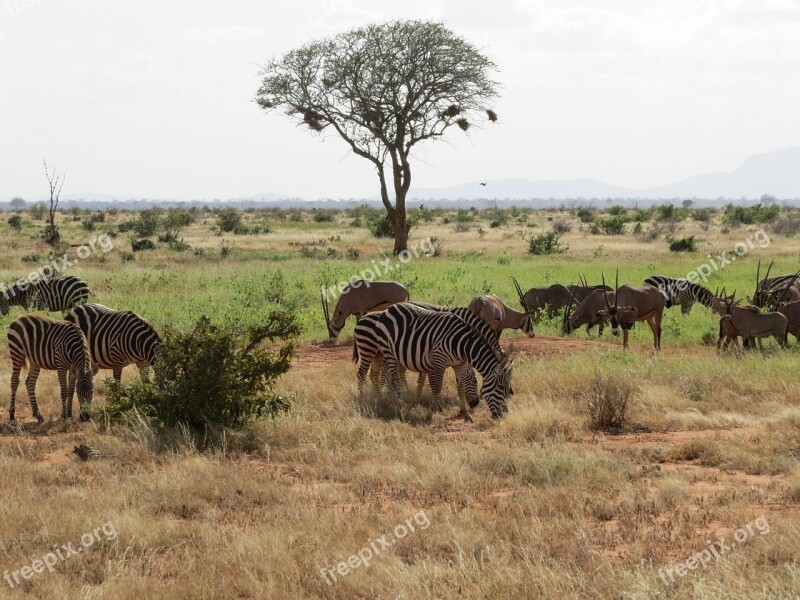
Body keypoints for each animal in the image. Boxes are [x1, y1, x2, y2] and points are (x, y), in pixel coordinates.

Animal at [354, 302, 516, 420]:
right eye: (501, 387)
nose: (502, 415)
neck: (462, 343)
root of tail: (389, 308)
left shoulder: (459, 364)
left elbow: (460, 387)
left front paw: (464, 413)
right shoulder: (438, 360)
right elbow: (436, 386)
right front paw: (434, 411)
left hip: (383, 354)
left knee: (377, 375)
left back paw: (383, 399)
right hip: (380, 350)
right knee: (379, 376)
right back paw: (382, 402)